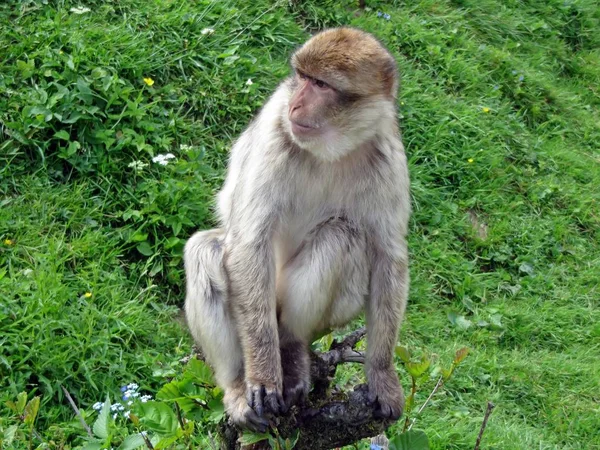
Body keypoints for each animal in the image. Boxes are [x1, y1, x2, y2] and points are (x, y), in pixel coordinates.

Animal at [185, 25, 410, 432]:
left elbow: (389, 257)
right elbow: (249, 242)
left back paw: (291, 345)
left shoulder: (388, 155)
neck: (331, 150)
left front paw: (382, 373)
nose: (296, 105)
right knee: (206, 252)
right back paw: (238, 386)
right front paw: (262, 376)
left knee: (342, 236)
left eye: (321, 84)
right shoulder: (275, 131)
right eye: (302, 78)